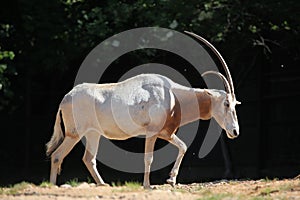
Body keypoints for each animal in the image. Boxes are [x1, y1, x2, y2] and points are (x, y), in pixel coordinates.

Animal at [45, 32, 240, 188]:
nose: (235, 131)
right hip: (74, 134)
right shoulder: (152, 132)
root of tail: (66, 98)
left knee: (88, 159)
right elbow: (149, 158)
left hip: (93, 133)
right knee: (56, 156)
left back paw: (102, 185)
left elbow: (183, 146)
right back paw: (53, 186)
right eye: (226, 103)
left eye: (234, 104)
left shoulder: (166, 133)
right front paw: (148, 185)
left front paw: (171, 179)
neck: (172, 95)